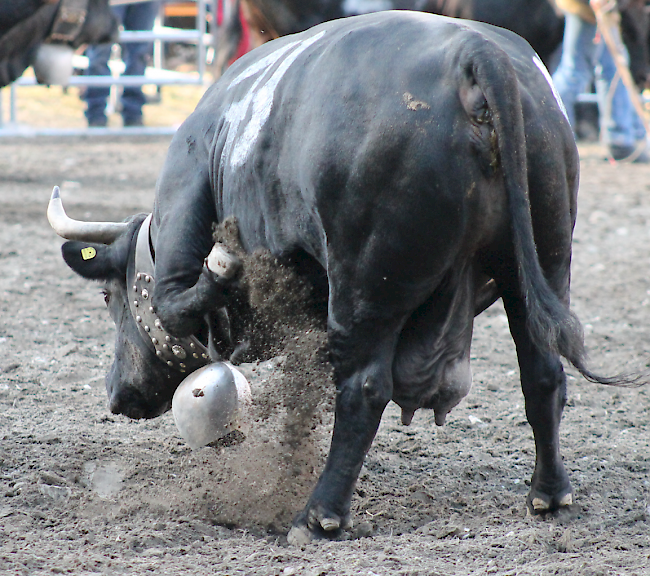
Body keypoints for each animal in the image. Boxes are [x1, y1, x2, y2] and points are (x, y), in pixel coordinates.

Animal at [49, 12, 636, 544]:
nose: (116, 396)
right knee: (543, 373)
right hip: (541, 261)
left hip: (367, 285)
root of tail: (475, 54)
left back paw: (318, 515)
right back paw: (549, 493)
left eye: (108, 297)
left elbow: (177, 304)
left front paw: (223, 268)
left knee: (364, 389)